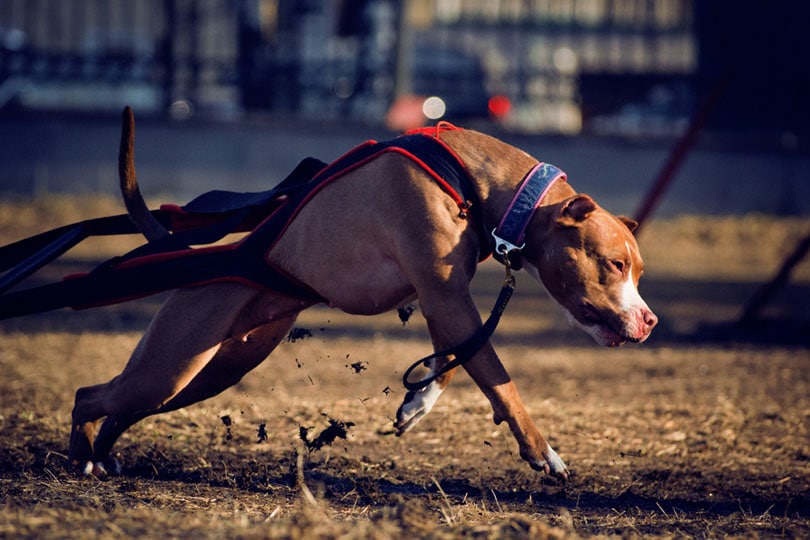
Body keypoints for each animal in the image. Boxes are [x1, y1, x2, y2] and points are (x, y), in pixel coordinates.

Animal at [68, 112, 652, 478]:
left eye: (639, 270)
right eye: (615, 264)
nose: (650, 321)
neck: (486, 186)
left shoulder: (443, 295)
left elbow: (456, 361)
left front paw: (417, 404)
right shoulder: (445, 294)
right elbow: (497, 376)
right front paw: (543, 452)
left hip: (212, 370)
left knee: (117, 403)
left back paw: (102, 456)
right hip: (173, 365)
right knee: (89, 396)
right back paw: (85, 456)